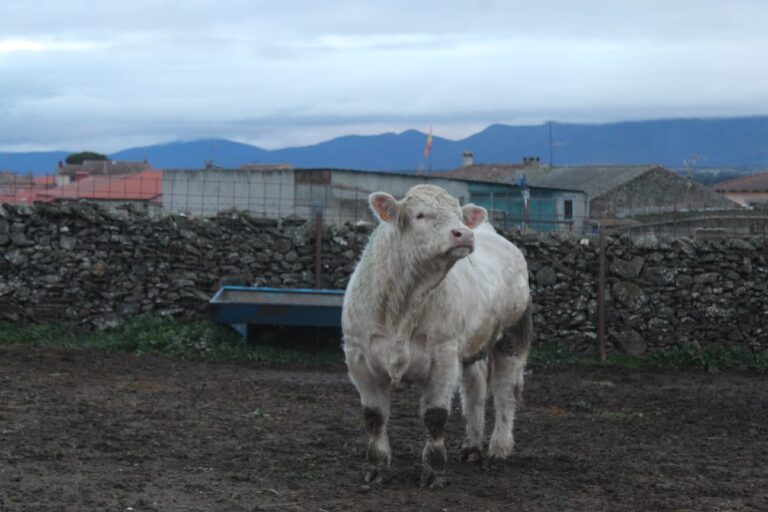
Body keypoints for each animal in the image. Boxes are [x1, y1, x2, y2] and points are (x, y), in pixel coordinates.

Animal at [344, 185, 536, 488]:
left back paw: (499, 448)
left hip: (514, 335)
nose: (464, 233)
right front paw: (376, 468)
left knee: (506, 393)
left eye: (458, 215)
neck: (403, 303)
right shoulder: (359, 359)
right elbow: (374, 417)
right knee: (475, 392)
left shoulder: (444, 357)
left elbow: (435, 416)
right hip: (473, 348)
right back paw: (472, 447)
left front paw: (434, 471)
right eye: (420, 215)